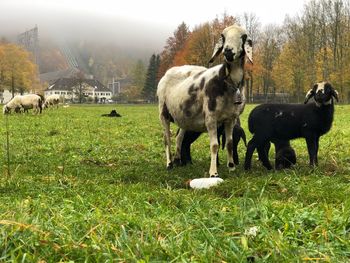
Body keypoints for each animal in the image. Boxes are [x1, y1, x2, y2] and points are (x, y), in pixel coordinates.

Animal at [157, 24, 253, 177]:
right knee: (167, 139)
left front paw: (231, 167)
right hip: (163, 112)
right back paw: (169, 164)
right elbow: (214, 145)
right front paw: (213, 173)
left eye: (243, 37)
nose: (228, 51)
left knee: (179, 138)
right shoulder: (211, 117)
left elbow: (229, 143)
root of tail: (168, 72)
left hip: (184, 116)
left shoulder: (230, 119)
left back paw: (178, 161)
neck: (227, 82)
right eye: (223, 36)